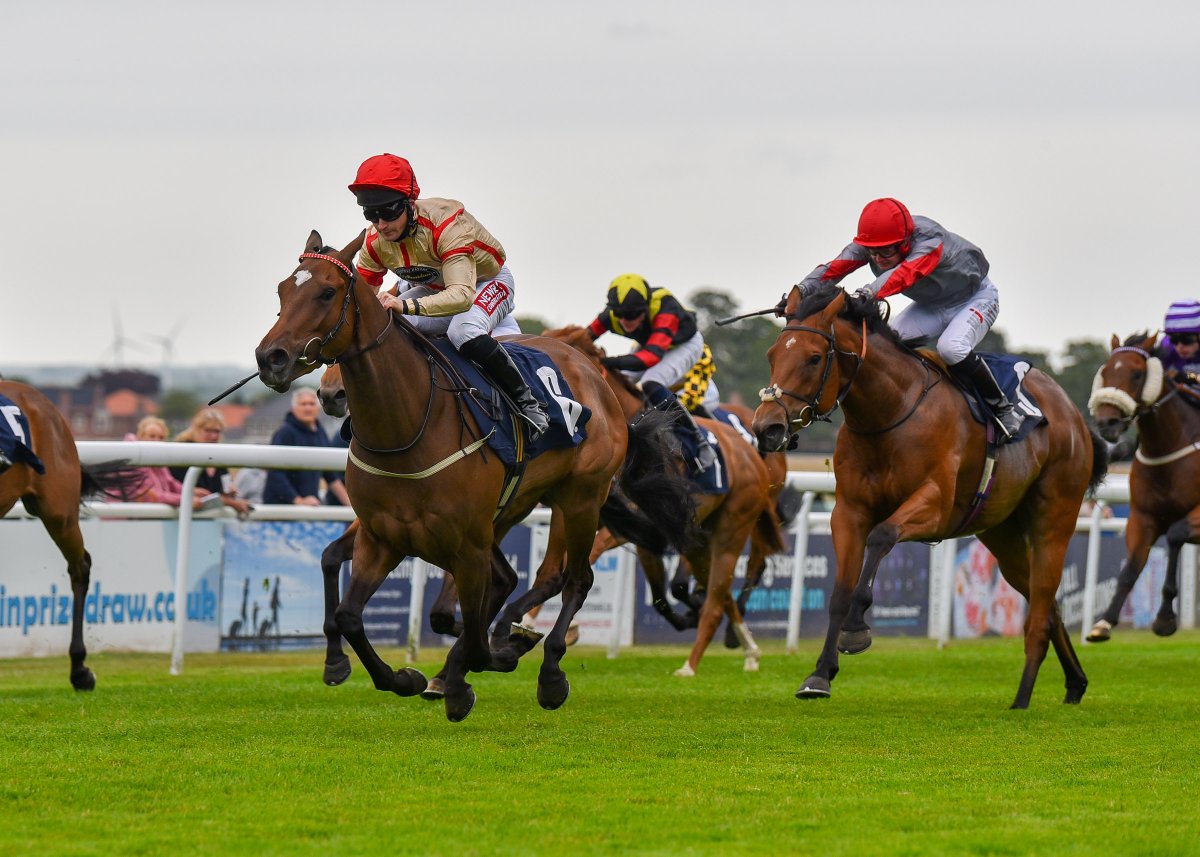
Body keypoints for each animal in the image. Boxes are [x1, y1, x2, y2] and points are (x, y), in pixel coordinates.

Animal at [262, 230, 696, 715]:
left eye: (326, 292)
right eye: (282, 291)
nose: (271, 358)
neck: (407, 426)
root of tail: (600, 386)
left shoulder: (467, 544)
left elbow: (469, 626)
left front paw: (477, 665)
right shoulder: (383, 537)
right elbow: (351, 614)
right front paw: (397, 675)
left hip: (581, 499)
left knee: (574, 579)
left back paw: (548, 672)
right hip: (517, 504)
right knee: (514, 583)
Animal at [748, 283, 1104, 705]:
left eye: (814, 358)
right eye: (771, 355)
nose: (766, 428)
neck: (889, 414)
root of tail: (1073, 414)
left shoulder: (934, 505)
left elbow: (882, 536)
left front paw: (856, 628)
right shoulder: (848, 511)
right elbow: (839, 592)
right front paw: (819, 674)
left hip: (1055, 519)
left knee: (1041, 608)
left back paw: (1022, 698)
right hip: (1003, 535)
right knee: (1047, 606)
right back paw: (1075, 683)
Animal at [1089, 331, 1200, 638]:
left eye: (1137, 374)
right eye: (1105, 370)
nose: (1107, 421)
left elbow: (1175, 535)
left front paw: (1164, 618)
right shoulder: (1142, 517)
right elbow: (1131, 568)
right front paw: (1104, 622)